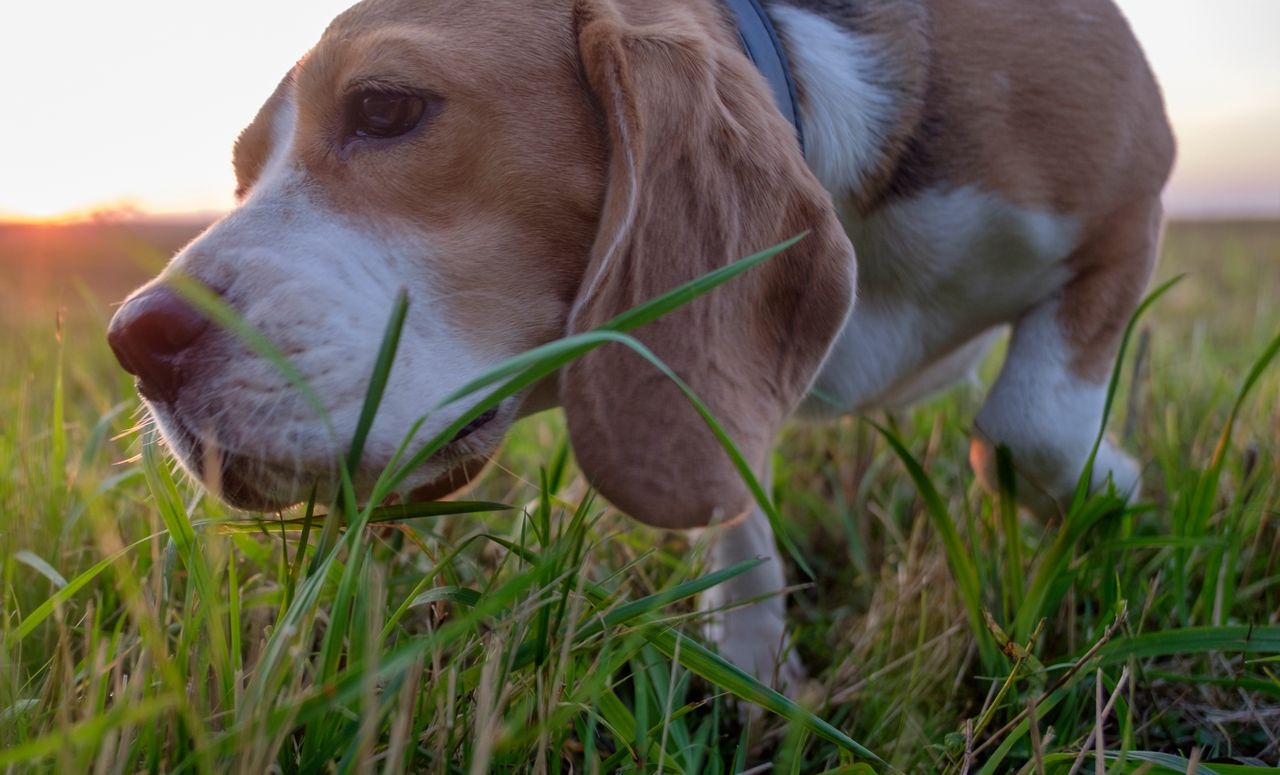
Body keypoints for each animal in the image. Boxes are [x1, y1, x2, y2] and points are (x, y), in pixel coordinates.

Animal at [104, 0, 1172, 686]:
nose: (135, 340)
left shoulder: (1133, 199)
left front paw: (1113, 488)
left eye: (386, 106)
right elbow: (732, 501)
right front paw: (754, 666)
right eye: (242, 172)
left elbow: (1028, 424)